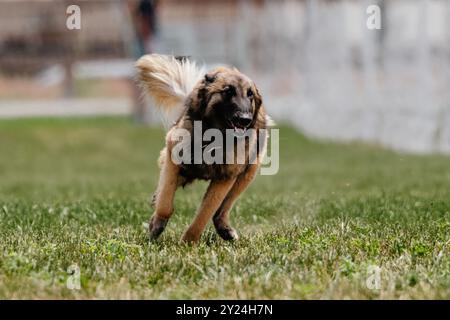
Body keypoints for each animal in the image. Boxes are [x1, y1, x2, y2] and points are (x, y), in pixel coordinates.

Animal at [135, 54, 272, 242]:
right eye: (227, 91)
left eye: (250, 94)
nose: (245, 119)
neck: (214, 138)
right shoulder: (173, 155)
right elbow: (166, 200)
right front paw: (157, 224)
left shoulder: (225, 178)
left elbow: (204, 214)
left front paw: (188, 242)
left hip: (248, 173)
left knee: (222, 209)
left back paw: (225, 228)